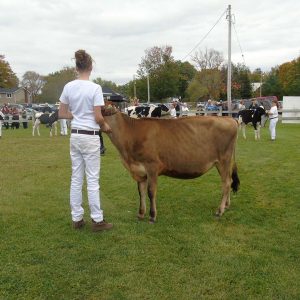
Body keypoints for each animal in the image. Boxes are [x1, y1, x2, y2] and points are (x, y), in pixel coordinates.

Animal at [102, 108, 240, 223]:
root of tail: (229, 118)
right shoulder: (139, 171)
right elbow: (141, 192)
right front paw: (141, 214)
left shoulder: (152, 167)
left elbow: (151, 192)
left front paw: (152, 216)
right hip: (223, 162)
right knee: (229, 181)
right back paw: (226, 205)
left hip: (224, 160)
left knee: (226, 183)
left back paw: (220, 211)